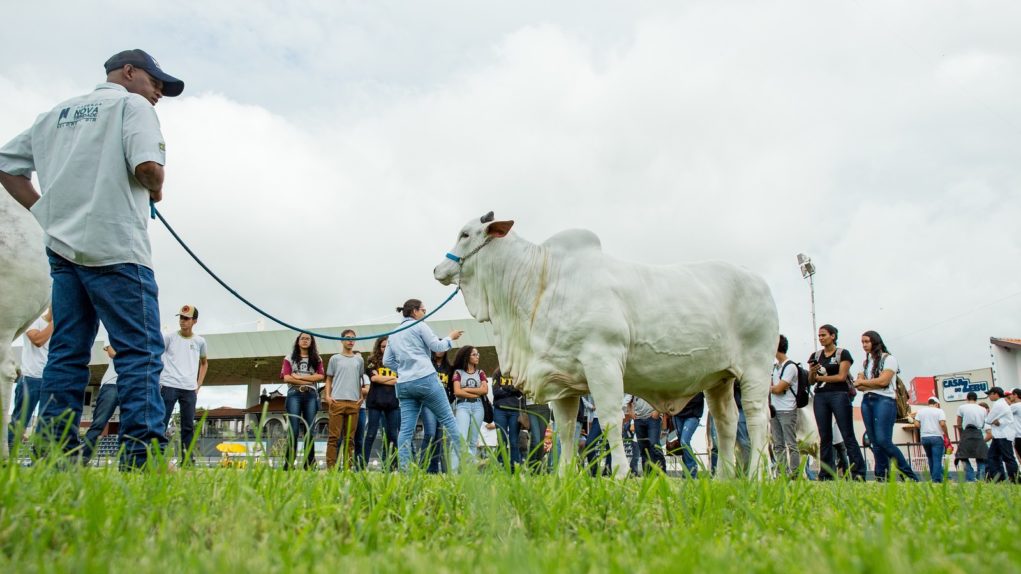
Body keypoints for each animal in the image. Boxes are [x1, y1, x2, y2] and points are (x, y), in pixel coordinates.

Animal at [434, 212, 775, 475]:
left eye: (465, 234)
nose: (438, 268)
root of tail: (759, 282)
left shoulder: (603, 362)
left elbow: (611, 420)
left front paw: (621, 476)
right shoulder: (562, 382)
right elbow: (567, 431)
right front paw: (564, 479)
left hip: (756, 368)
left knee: (758, 420)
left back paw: (757, 477)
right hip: (719, 378)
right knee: (727, 423)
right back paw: (725, 480)